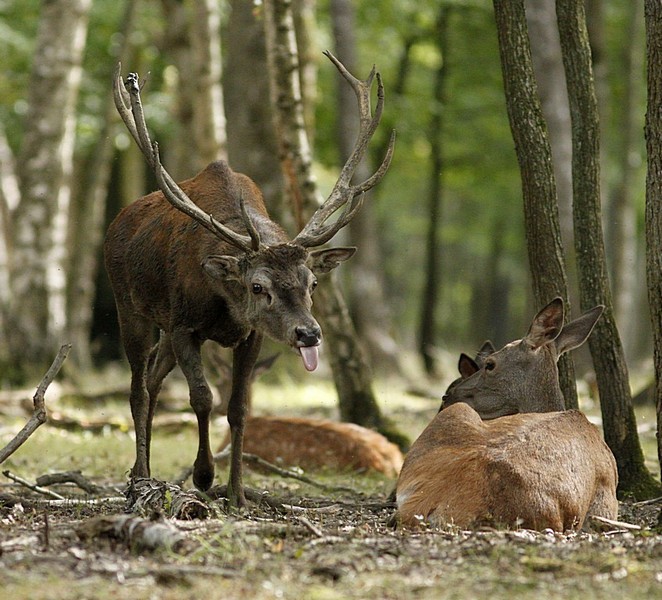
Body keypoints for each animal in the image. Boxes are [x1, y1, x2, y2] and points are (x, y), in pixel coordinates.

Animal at [104, 52, 395, 508]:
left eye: (312, 283)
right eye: (259, 287)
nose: (309, 333)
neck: (226, 303)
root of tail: (116, 221)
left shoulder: (250, 335)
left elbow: (239, 408)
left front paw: (237, 494)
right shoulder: (184, 325)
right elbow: (202, 397)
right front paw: (204, 475)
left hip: (163, 328)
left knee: (152, 380)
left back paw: (140, 471)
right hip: (129, 305)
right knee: (137, 388)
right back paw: (141, 475)